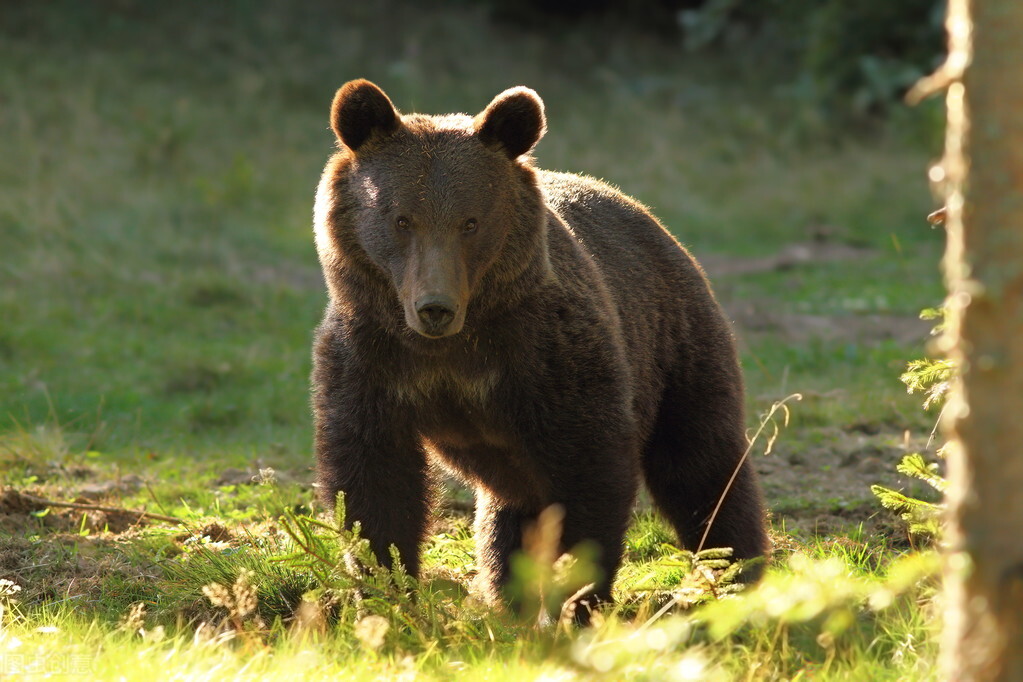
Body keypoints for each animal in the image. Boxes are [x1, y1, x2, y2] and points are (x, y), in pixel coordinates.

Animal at [311, 79, 768, 618]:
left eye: (470, 222)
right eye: (402, 219)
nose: (435, 308)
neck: (454, 348)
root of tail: (651, 220)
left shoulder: (547, 356)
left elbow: (591, 469)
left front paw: (582, 596)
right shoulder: (371, 359)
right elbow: (373, 485)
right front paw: (387, 590)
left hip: (676, 342)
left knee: (701, 462)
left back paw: (738, 571)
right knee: (509, 513)